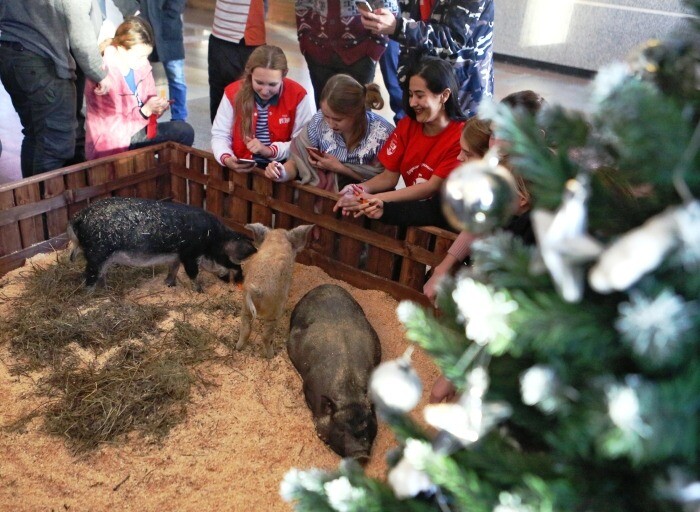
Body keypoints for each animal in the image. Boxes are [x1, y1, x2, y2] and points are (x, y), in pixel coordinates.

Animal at [66, 197, 254, 290]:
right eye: (227, 256)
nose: (240, 277)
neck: (211, 241)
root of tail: (78, 216)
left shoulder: (176, 256)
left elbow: (174, 268)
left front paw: (169, 284)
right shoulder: (189, 254)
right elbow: (193, 274)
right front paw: (200, 290)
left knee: (101, 274)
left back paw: (106, 291)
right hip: (97, 253)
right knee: (90, 277)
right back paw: (90, 296)